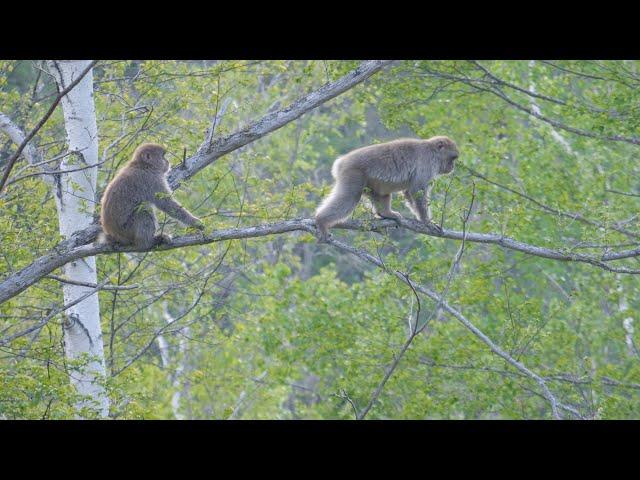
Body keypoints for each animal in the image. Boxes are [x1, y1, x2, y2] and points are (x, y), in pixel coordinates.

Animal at [312, 136, 458, 242]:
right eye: (453, 158)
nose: (452, 167)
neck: (433, 151)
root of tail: (341, 162)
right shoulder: (427, 164)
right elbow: (416, 191)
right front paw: (426, 221)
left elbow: (409, 191)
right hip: (353, 173)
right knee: (350, 197)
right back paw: (321, 220)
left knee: (381, 192)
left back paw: (385, 213)